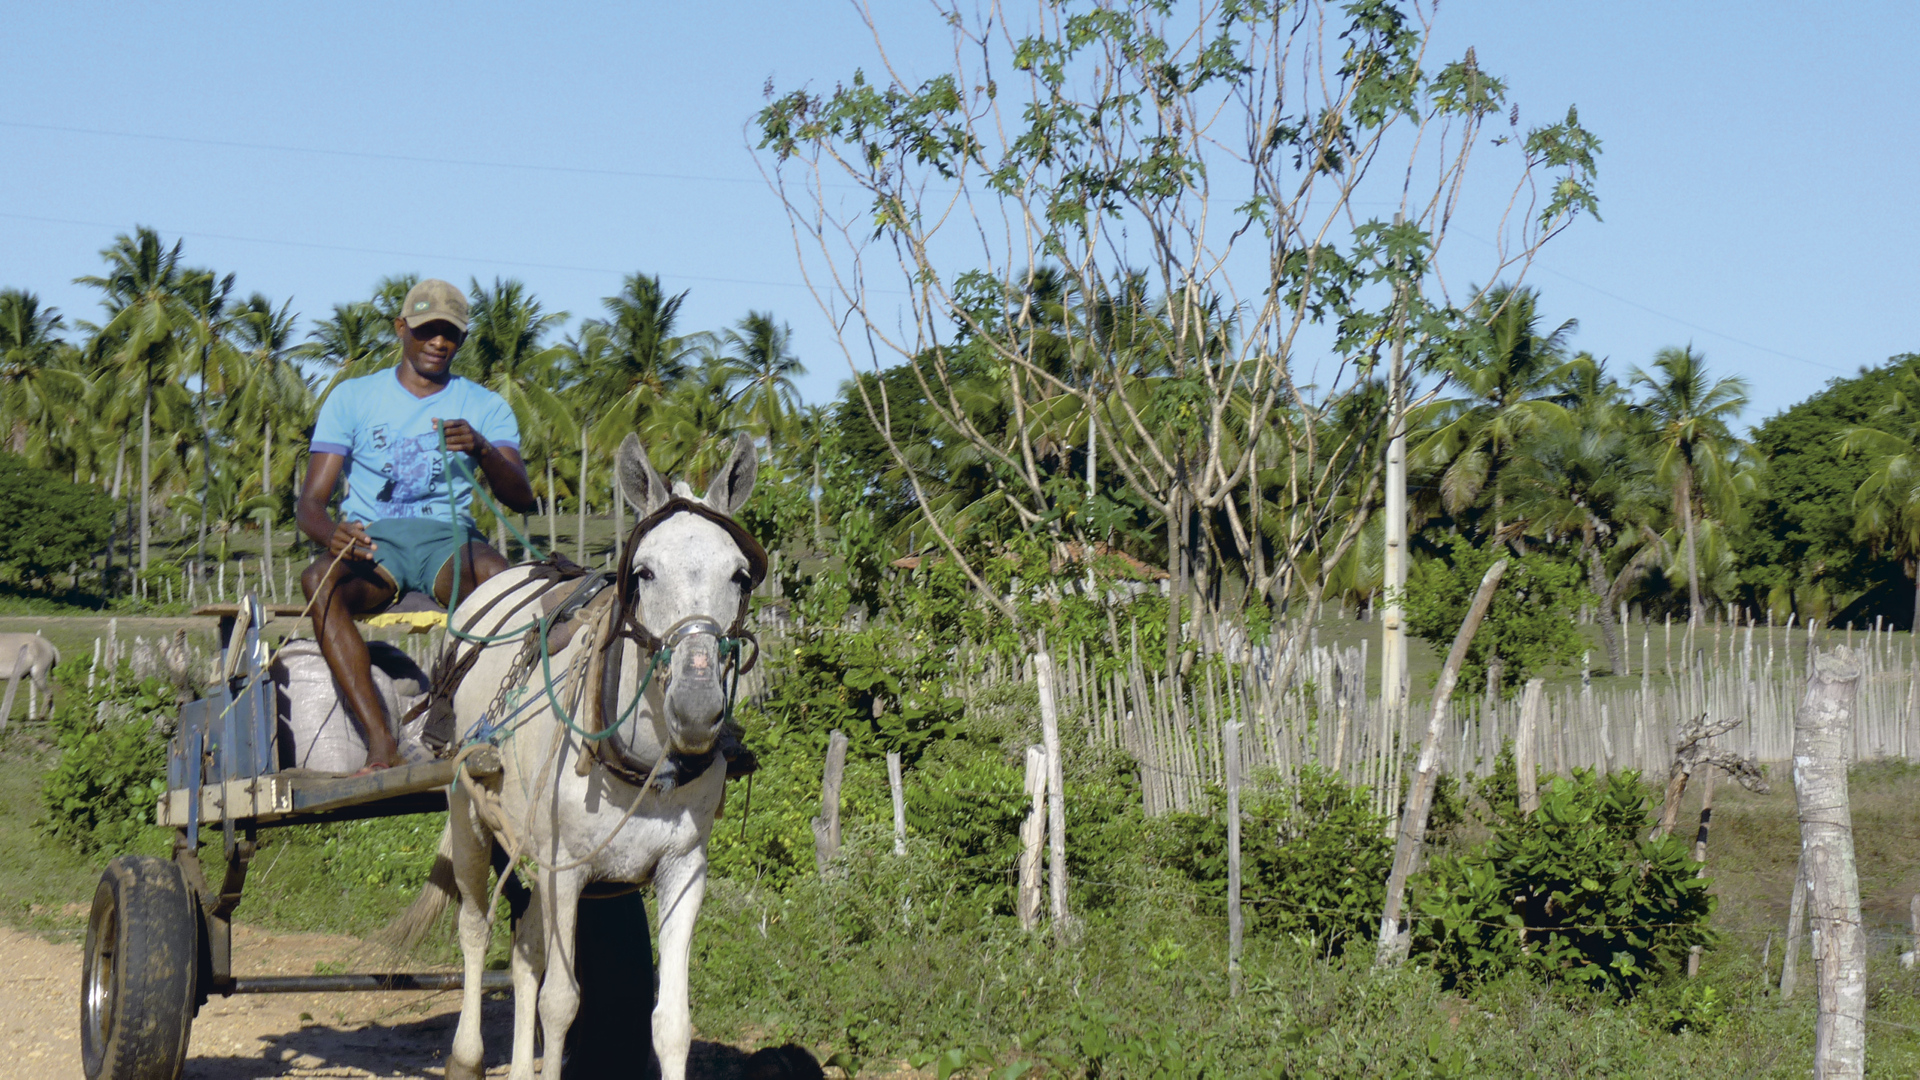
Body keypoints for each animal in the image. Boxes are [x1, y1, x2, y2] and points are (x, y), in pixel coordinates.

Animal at [389, 432, 763, 1080]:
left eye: (739, 575)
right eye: (643, 572)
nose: (696, 708)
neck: (644, 764)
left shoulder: (682, 868)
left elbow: (671, 1022)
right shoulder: (566, 870)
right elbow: (560, 1003)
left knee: (524, 952)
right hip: (467, 811)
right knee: (475, 928)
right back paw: (467, 1055)